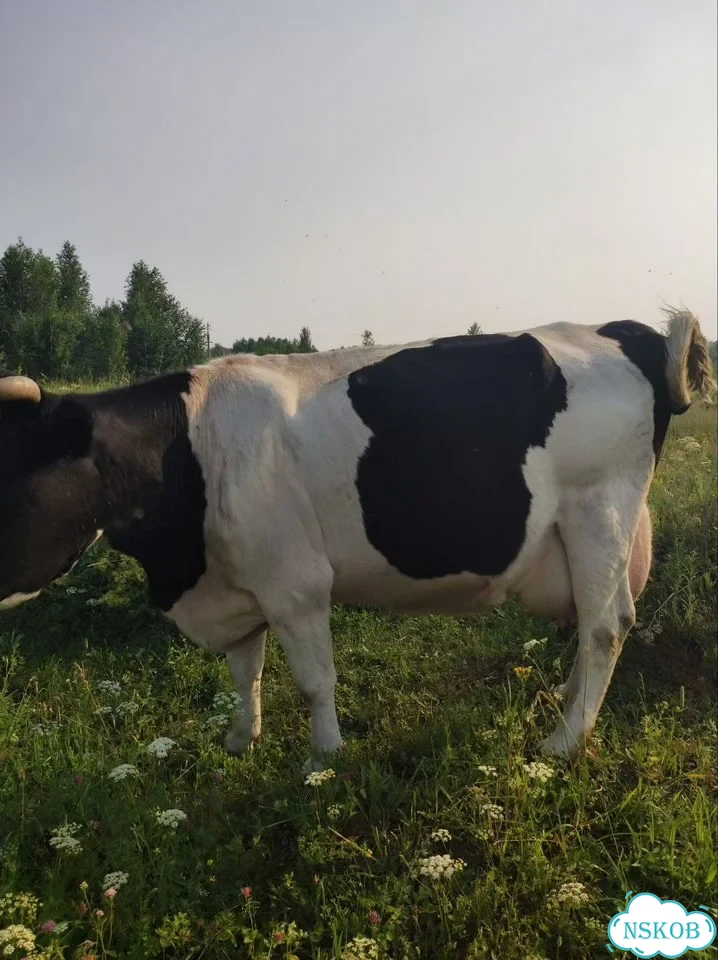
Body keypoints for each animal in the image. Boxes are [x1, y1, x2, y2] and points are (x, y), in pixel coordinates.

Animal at [0, 307, 714, 769]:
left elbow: (314, 681)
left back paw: (565, 741)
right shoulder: (241, 582)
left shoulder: (295, 584)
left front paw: (324, 758)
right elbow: (245, 670)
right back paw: (567, 705)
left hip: (598, 511)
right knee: (603, 625)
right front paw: (240, 740)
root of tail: (624, 330)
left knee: (604, 627)